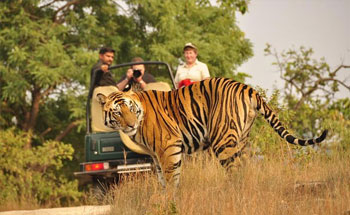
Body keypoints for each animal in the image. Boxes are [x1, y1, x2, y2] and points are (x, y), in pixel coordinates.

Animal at [96, 78, 328, 187]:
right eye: (117, 112)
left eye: (129, 108)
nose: (130, 125)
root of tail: (247, 87)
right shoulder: (156, 155)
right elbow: (163, 179)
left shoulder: (168, 147)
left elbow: (171, 179)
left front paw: (171, 200)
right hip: (241, 139)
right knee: (244, 168)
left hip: (223, 141)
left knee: (234, 171)